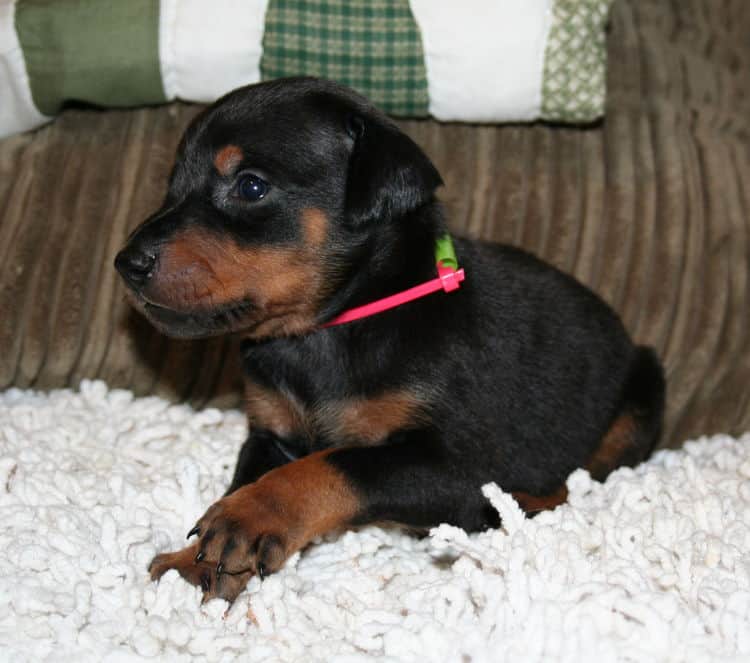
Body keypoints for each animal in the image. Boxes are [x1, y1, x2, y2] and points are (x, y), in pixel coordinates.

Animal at [114, 76, 668, 600]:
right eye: (173, 184)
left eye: (250, 187)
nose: (126, 263)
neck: (326, 330)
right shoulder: (270, 430)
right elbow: (249, 475)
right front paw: (198, 561)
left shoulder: (455, 468)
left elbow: (335, 464)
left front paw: (246, 518)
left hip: (643, 389)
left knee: (585, 479)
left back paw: (524, 506)